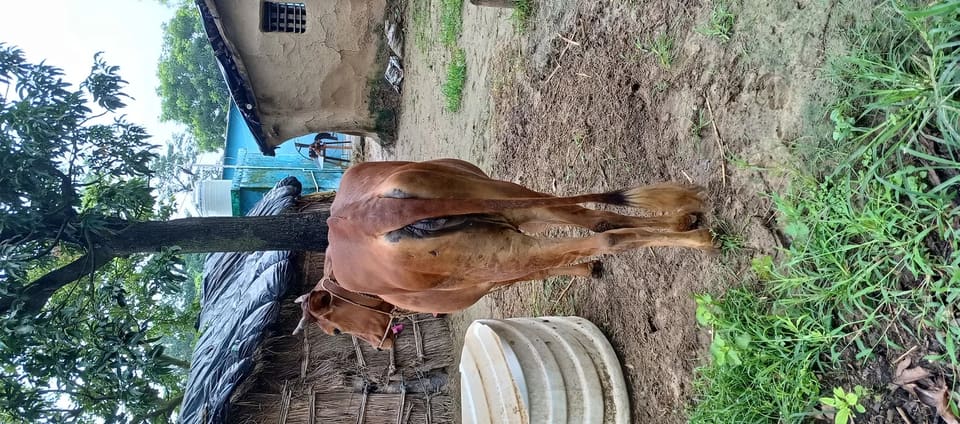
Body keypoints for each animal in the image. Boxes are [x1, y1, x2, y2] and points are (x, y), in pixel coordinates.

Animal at [295, 159, 714, 349]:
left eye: (334, 328)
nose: (380, 345)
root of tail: (375, 213)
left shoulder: (489, 277)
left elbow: (539, 274)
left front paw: (588, 270)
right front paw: (588, 270)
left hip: (501, 246)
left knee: (605, 239)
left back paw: (700, 239)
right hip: (511, 199)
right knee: (597, 219)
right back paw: (686, 218)